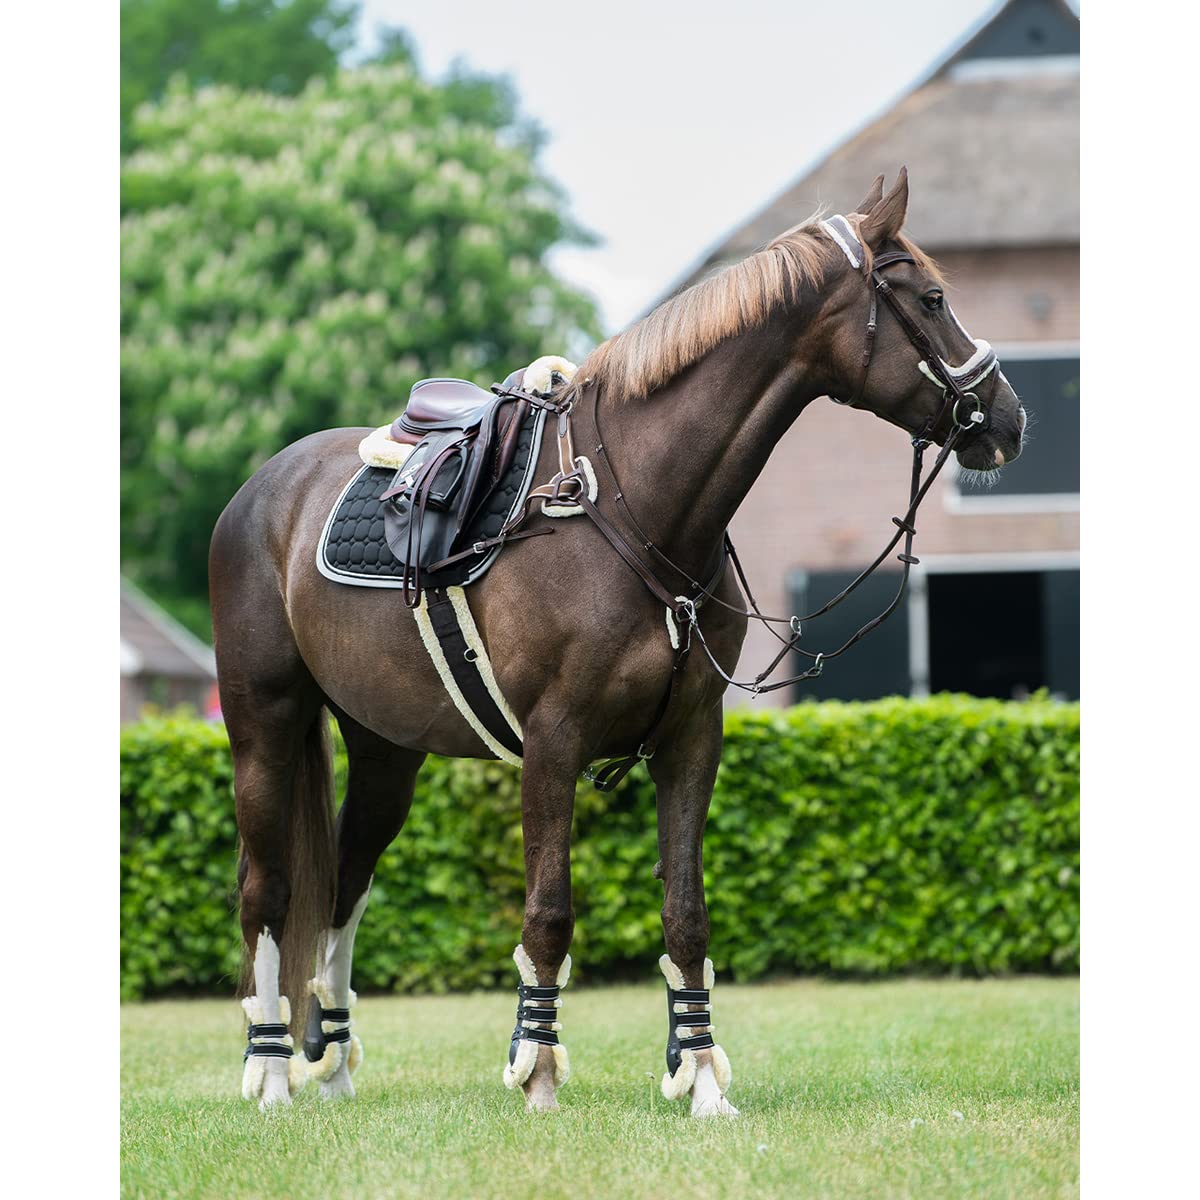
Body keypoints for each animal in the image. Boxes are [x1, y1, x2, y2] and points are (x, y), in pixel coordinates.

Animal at [209, 169, 1025, 1117]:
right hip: (264, 728)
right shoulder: (552, 743)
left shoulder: (691, 738)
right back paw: (271, 1072)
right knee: (269, 893)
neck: (633, 505)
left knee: (343, 884)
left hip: (385, 753)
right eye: (931, 298)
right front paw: (538, 1073)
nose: (1010, 419)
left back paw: (334, 1064)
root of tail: (263, 489)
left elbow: (687, 914)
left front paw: (700, 1078)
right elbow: (548, 912)